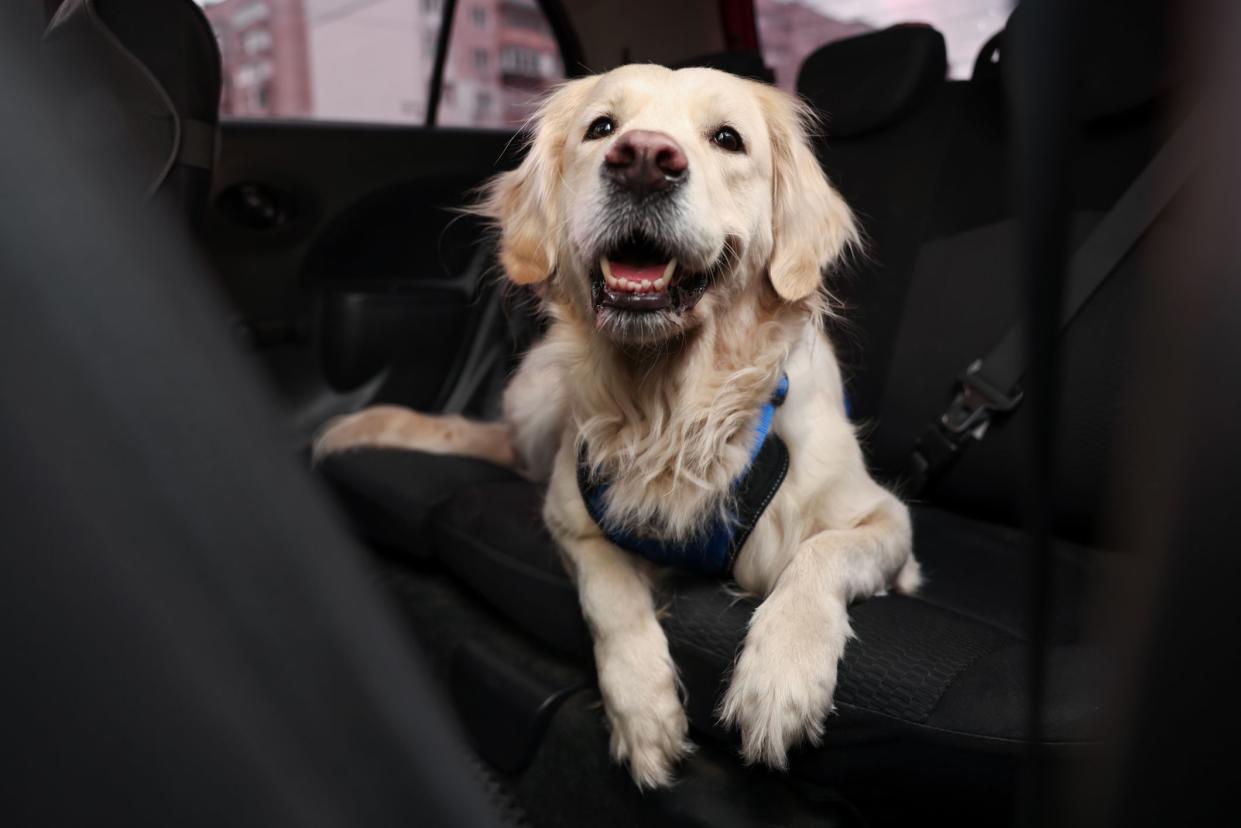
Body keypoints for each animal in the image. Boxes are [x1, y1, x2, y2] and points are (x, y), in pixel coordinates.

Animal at [315, 64, 928, 789]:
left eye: (727, 138)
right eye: (601, 127)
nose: (642, 160)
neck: (672, 407)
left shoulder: (886, 522)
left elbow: (822, 553)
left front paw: (780, 676)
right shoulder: (570, 511)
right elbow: (608, 592)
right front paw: (644, 709)